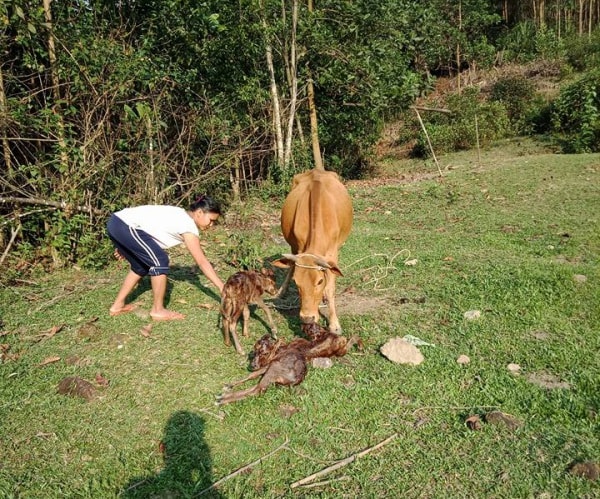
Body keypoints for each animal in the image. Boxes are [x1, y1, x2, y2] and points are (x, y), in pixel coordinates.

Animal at [272, 170, 352, 334]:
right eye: (297, 282)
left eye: (319, 281)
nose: (307, 318)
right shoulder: (298, 248)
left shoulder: (332, 254)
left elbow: (330, 287)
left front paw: (334, 324)